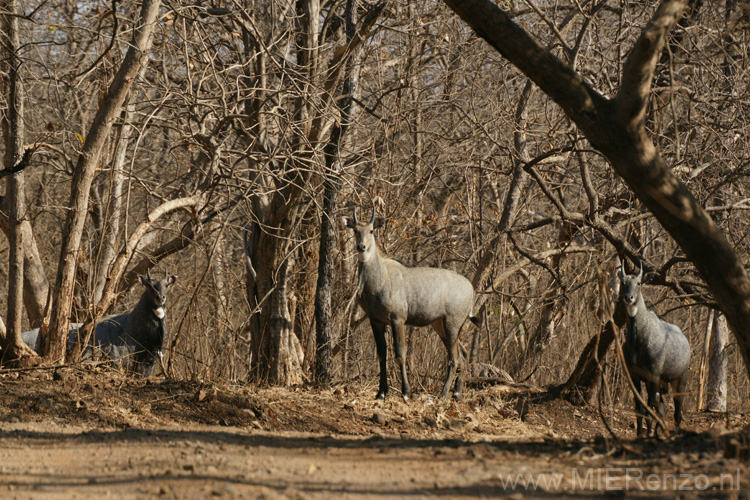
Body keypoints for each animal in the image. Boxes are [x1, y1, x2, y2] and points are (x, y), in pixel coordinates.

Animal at [346, 206, 482, 398]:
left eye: (371, 230)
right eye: (356, 230)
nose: (361, 246)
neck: (378, 279)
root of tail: (471, 289)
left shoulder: (398, 319)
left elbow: (400, 354)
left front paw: (406, 391)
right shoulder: (376, 320)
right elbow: (381, 354)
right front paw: (381, 393)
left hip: (452, 323)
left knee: (454, 358)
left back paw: (444, 394)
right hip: (439, 324)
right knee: (462, 355)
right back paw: (456, 394)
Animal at [620, 264, 692, 436]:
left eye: (639, 283)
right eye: (623, 282)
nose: (628, 297)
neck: (637, 341)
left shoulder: (652, 375)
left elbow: (649, 408)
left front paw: (647, 435)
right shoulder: (634, 375)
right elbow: (639, 409)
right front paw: (640, 434)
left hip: (680, 380)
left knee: (677, 413)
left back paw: (672, 433)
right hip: (661, 383)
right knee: (663, 409)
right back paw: (659, 432)